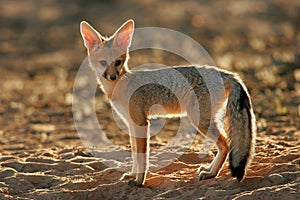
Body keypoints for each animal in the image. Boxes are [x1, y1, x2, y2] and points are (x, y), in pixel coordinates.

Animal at [79, 19, 255, 186]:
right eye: (103, 63)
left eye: (118, 62)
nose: (113, 77)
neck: (122, 85)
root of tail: (227, 74)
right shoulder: (131, 124)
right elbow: (135, 154)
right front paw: (132, 174)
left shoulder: (141, 123)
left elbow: (142, 157)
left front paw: (139, 181)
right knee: (224, 144)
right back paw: (209, 170)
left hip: (199, 120)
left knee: (226, 144)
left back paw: (212, 173)